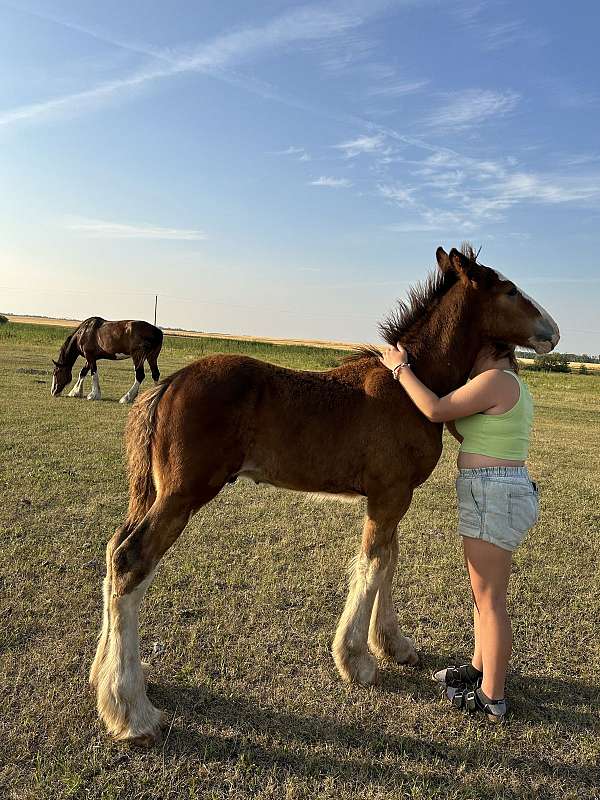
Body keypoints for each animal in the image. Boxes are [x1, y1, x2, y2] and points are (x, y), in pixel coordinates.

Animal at [89, 247, 556, 748]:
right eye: (510, 290)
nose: (553, 330)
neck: (410, 388)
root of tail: (169, 384)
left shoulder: (391, 497)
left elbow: (388, 562)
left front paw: (394, 646)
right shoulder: (390, 494)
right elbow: (375, 563)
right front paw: (357, 661)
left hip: (152, 494)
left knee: (113, 549)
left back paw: (103, 678)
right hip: (182, 495)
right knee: (131, 560)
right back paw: (133, 713)